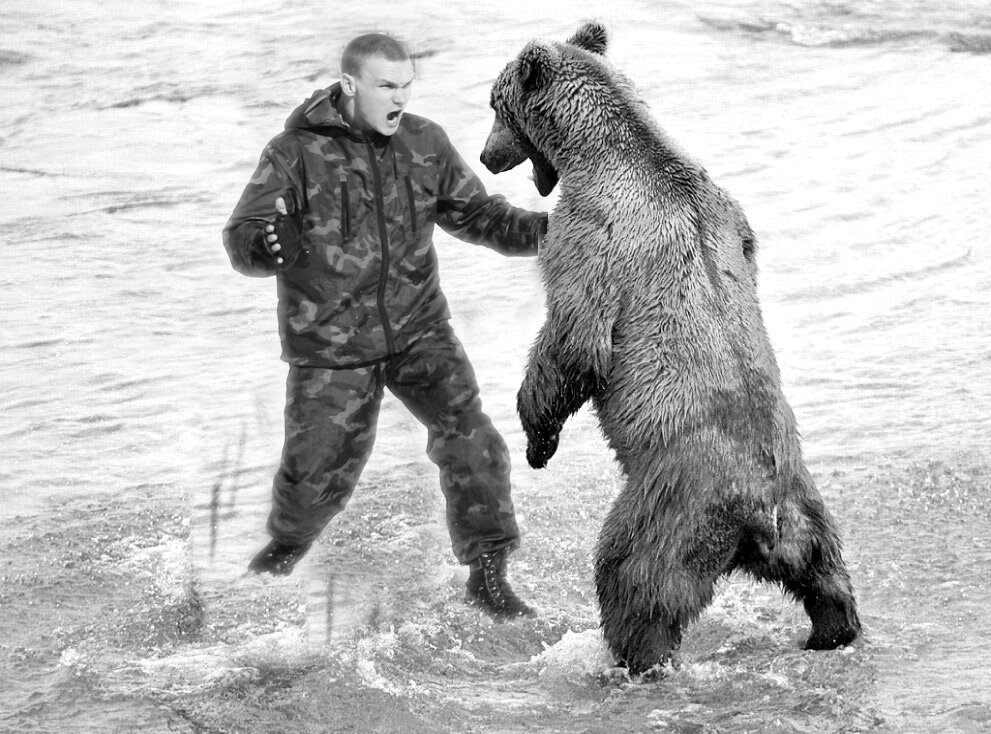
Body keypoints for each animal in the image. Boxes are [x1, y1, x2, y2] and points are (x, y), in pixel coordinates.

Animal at [480, 21, 860, 680]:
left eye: (494, 106)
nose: (484, 155)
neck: (600, 148)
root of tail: (760, 513)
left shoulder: (590, 235)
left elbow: (574, 340)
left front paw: (536, 437)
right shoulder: (730, 213)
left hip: (671, 501)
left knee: (632, 577)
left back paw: (630, 659)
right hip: (805, 506)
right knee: (827, 572)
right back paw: (832, 631)